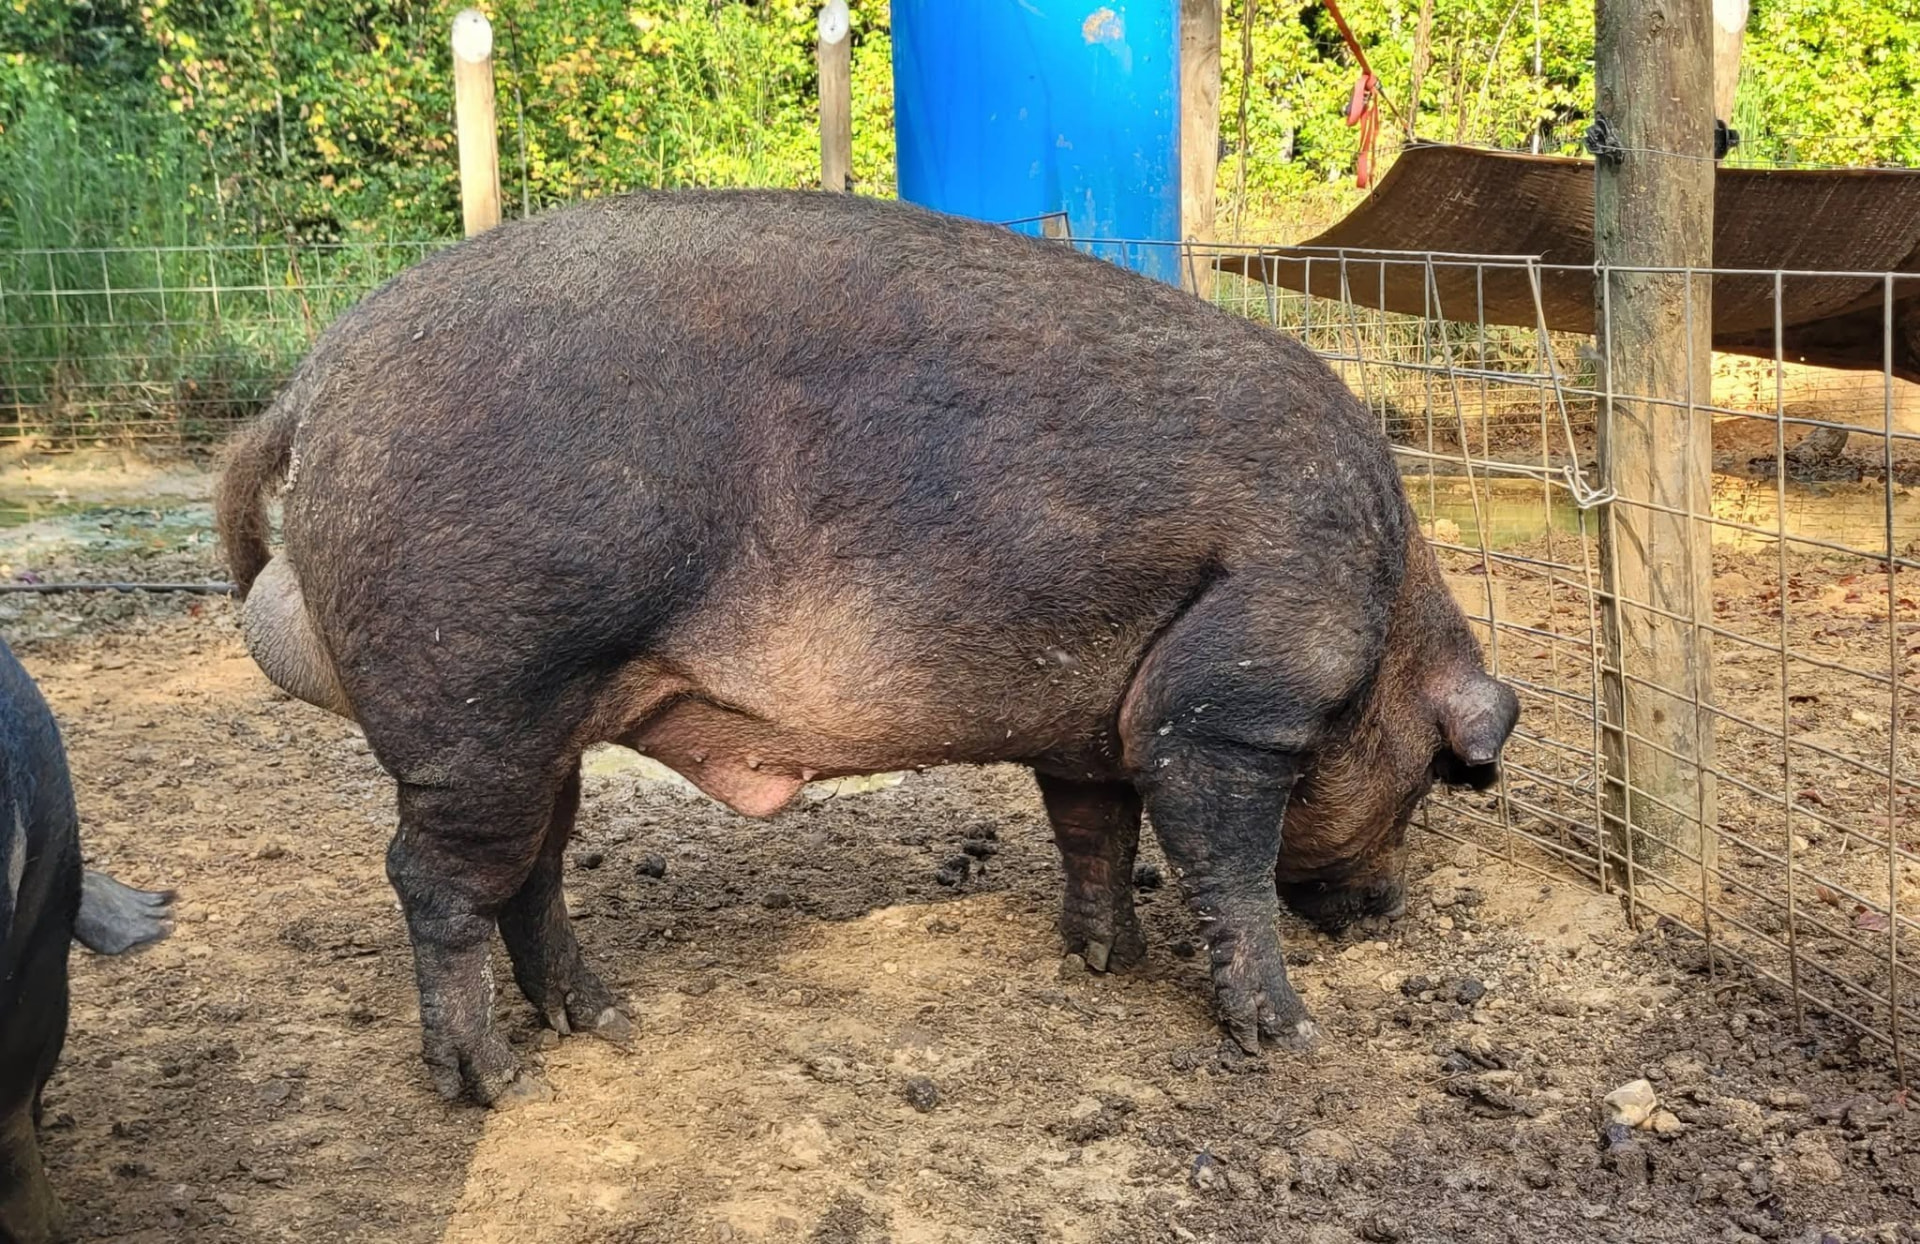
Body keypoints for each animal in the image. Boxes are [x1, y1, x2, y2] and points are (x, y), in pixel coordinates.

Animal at [216, 190, 1517, 1107]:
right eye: (1422, 782)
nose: (1385, 910)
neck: (1387, 603)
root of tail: (314, 383)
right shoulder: (1230, 700)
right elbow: (1225, 856)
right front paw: (1292, 1035)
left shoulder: (1089, 718)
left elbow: (1093, 829)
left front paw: (1102, 961)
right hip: (476, 696)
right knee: (433, 879)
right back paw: (496, 1083)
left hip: (542, 729)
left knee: (529, 869)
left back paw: (611, 1021)